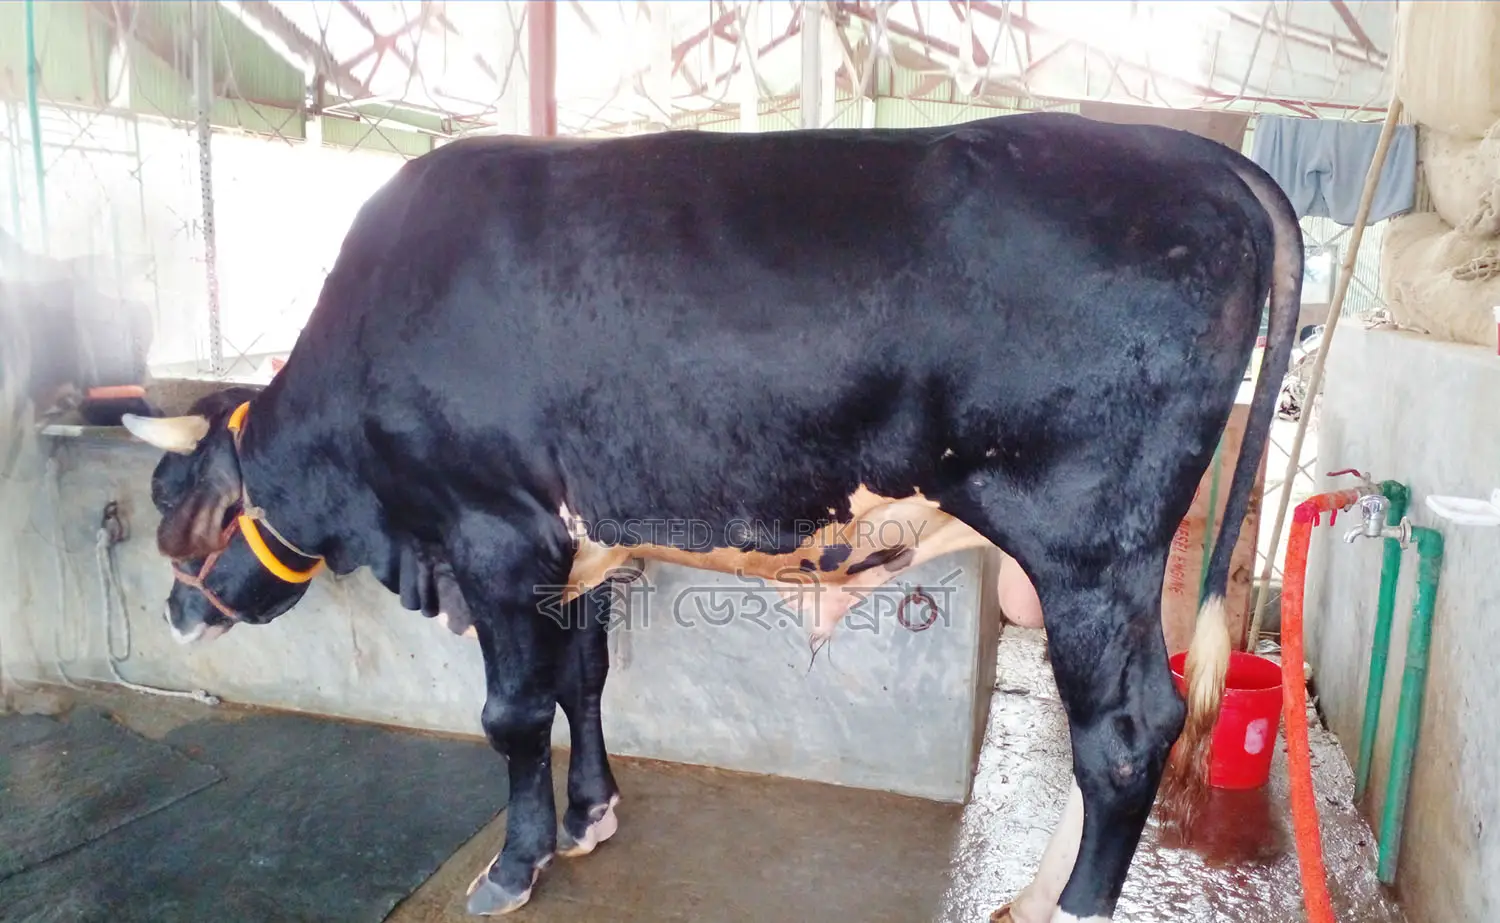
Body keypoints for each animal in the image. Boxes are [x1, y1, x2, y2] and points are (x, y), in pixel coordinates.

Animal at [119, 111, 1300, 922]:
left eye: (175, 502)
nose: (172, 615)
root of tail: (1198, 157)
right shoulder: (580, 547)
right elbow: (584, 682)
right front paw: (591, 816)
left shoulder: (496, 534)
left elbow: (513, 712)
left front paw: (513, 863)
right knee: (1130, 723)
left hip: (1087, 541)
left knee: (1125, 730)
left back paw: (1071, 906)